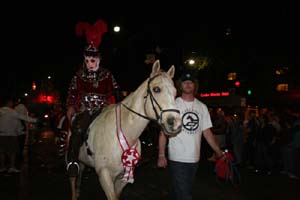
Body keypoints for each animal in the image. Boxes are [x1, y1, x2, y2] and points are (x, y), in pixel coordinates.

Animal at [70, 60, 182, 200]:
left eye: (175, 92)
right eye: (157, 89)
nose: (176, 123)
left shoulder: (122, 176)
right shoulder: (104, 175)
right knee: (73, 178)